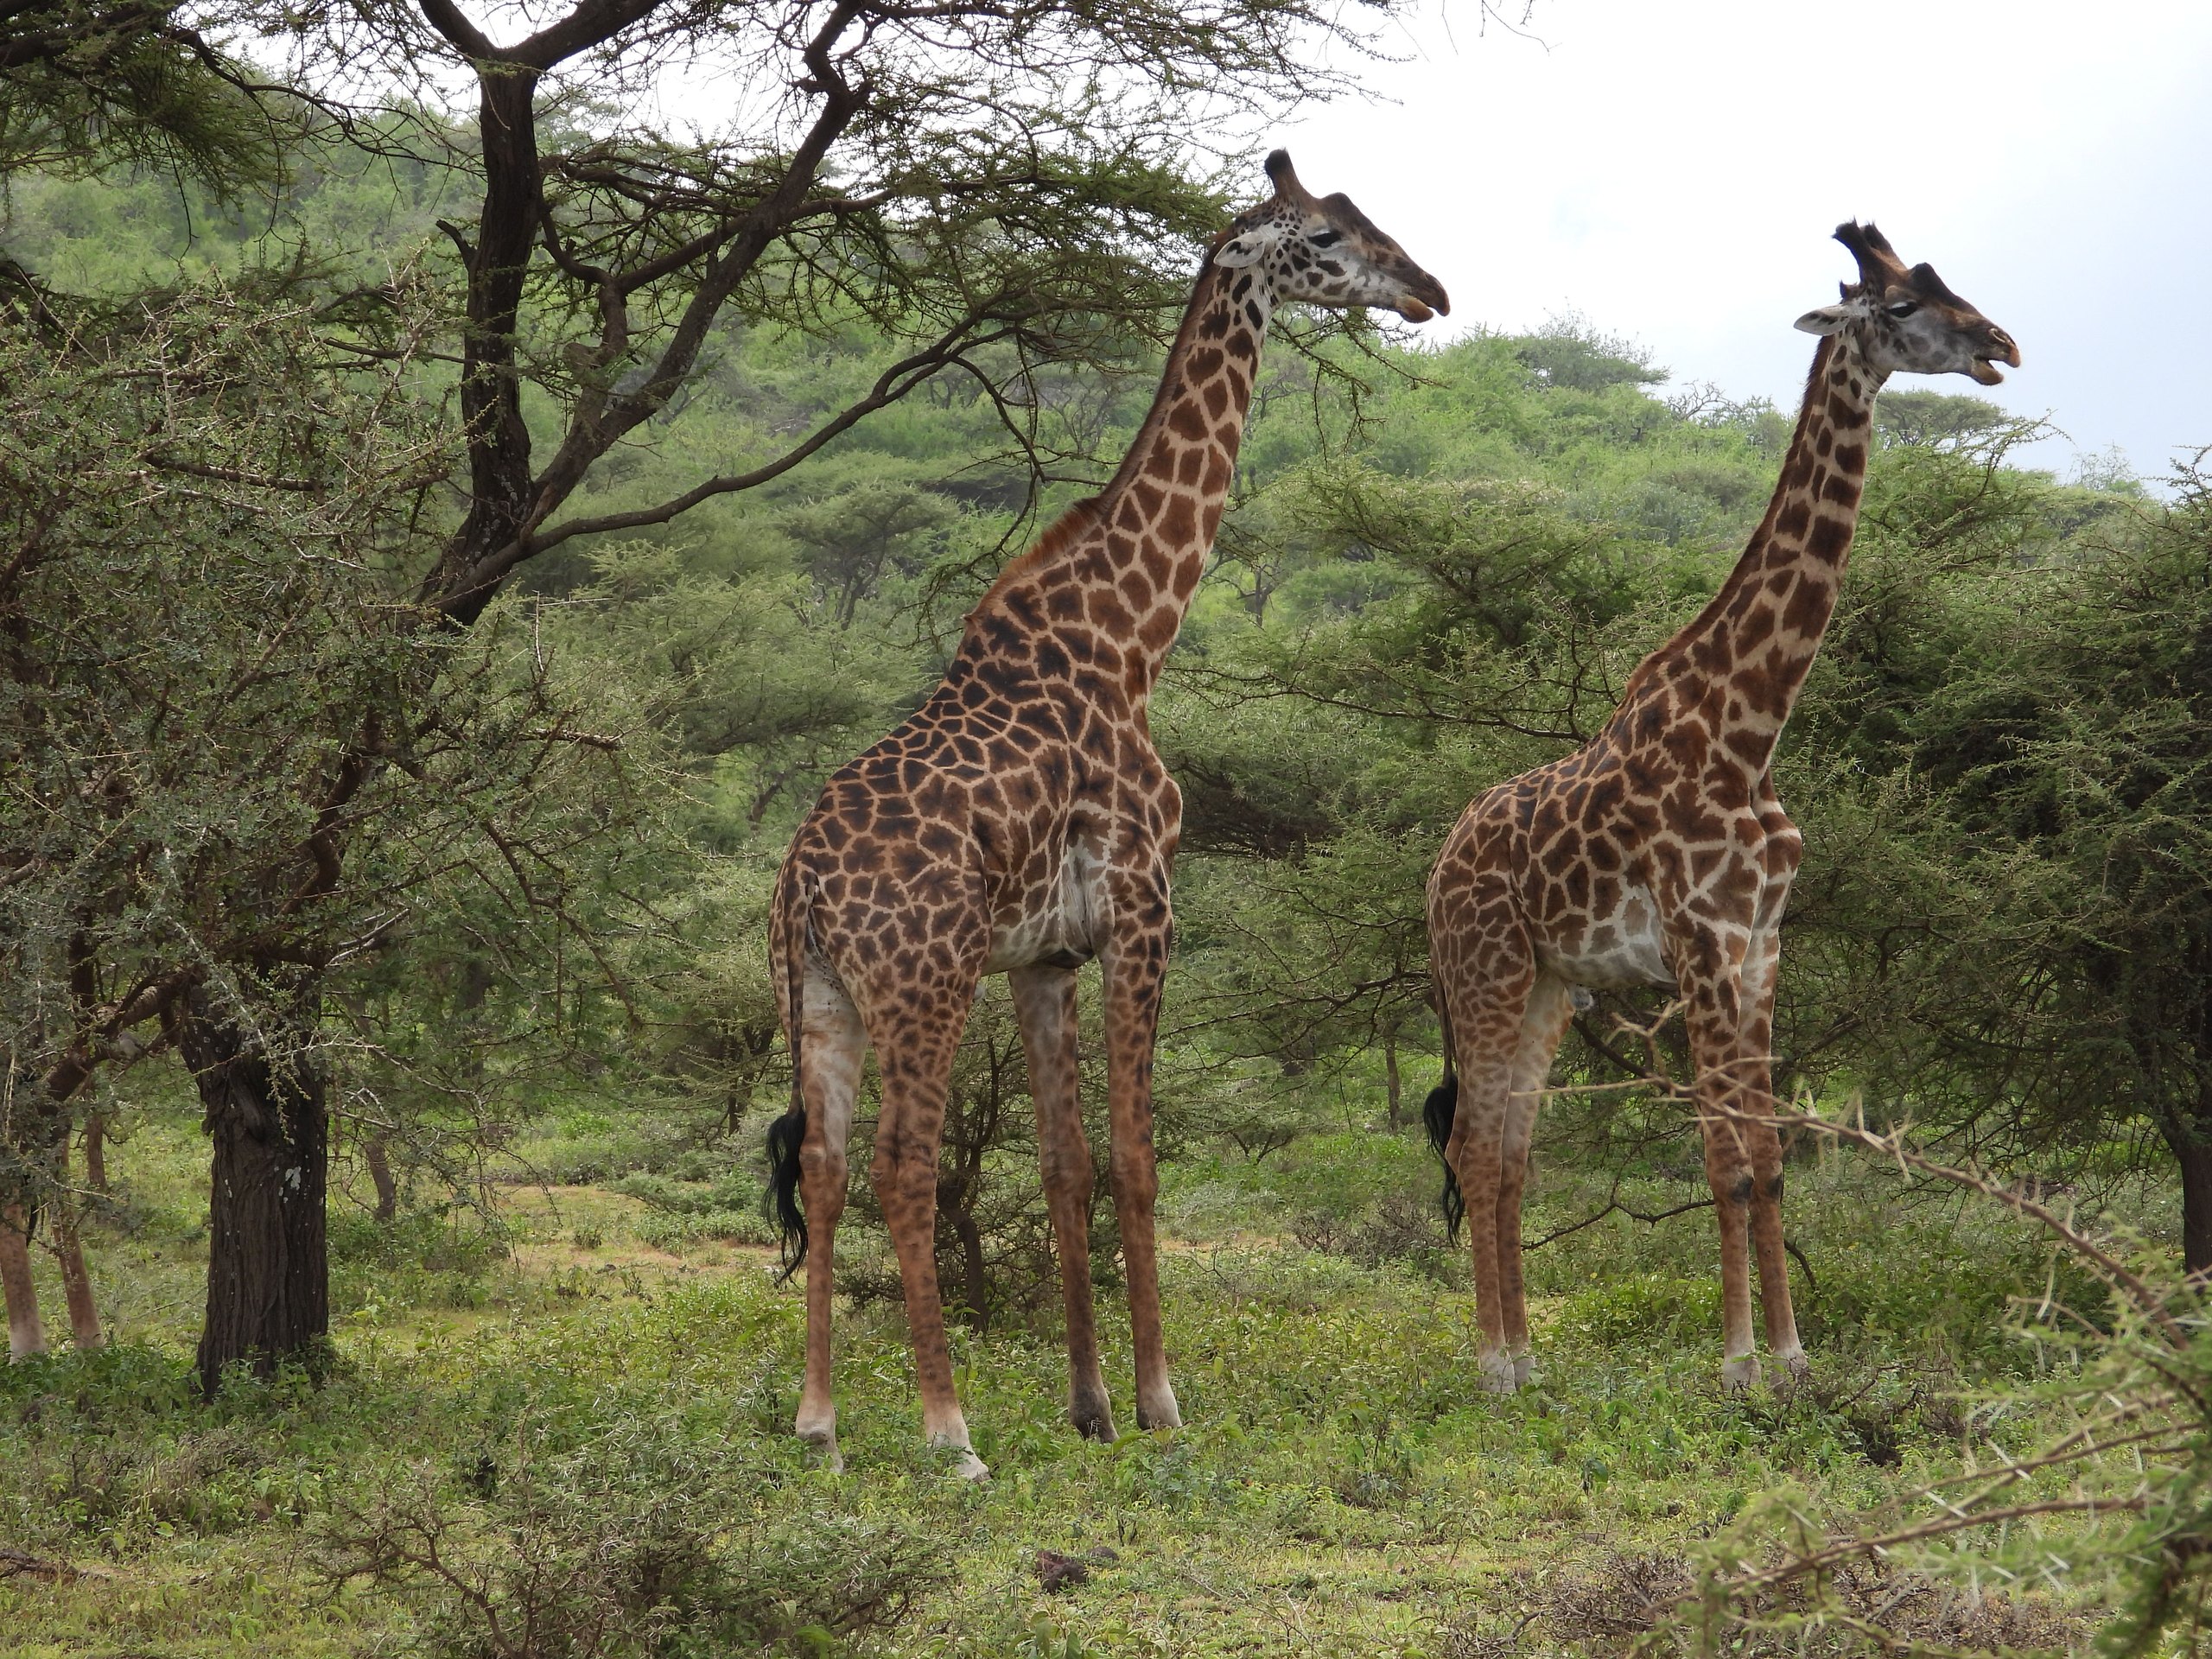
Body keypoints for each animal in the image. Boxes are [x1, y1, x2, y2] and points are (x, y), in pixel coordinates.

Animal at [761, 151, 1446, 1479]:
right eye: (1328, 237)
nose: (1430, 288)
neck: (1132, 635)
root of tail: (805, 884)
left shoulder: (1047, 955)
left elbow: (1065, 1166)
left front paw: (1089, 1407)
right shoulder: (1146, 902)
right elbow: (1136, 1159)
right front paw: (1163, 1403)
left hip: (815, 990)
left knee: (822, 1164)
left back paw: (819, 1424)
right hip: (923, 983)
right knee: (903, 1165)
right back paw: (949, 1435)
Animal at [1424, 223, 2018, 1393]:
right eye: (1897, 307)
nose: (2001, 345)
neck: (1749, 731)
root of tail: (1434, 868)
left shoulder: (1760, 942)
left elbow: (1773, 1155)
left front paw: (1792, 1358)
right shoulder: (1697, 939)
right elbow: (1723, 1159)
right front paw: (1739, 1364)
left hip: (1547, 990)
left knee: (1507, 1156)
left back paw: (1529, 1365)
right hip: (1486, 972)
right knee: (1473, 1149)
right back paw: (1492, 1368)